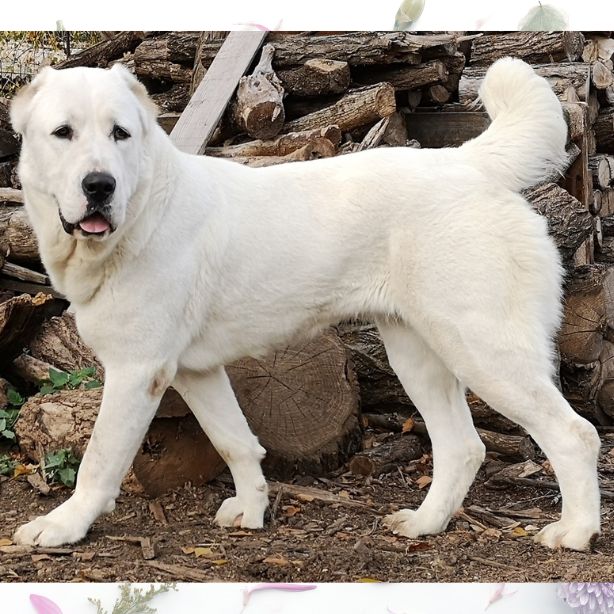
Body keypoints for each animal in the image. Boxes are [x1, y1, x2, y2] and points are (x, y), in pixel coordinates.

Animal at [9, 55, 604, 552]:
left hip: (484, 351)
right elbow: (235, 443)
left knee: (575, 435)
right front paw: (251, 511)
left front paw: (63, 526)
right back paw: (425, 523)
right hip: (417, 354)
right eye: (63, 133)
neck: (141, 213)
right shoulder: (195, 372)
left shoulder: (137, 371)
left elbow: (98, 459)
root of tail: (469, 163)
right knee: (463, 447)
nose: (99, 185)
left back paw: (574, 533)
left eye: (121, 134)